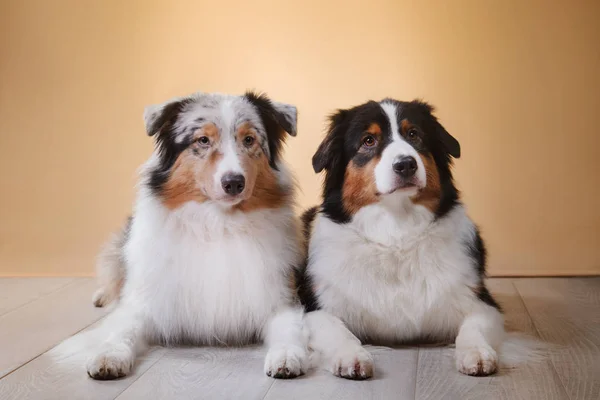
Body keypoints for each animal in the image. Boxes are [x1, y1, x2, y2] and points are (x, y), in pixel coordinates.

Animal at [88, 91, 310, 382]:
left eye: (249, 139)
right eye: (203, 140)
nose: (233, 182)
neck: (218, 224)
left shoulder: (279, 299)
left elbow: (288, 329)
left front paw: (286, 356)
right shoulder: (145, 302)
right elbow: (121, 329)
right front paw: (108, 356)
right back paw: (101, 296)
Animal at [298, 98, 504, 376]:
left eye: (414, 134)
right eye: (368, 140)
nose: (406, 164)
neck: (396, 233)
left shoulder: (481, 302)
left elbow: (473, 326)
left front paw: (477, 353)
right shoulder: (317, 307)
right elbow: (337, 331)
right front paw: (351, 355)